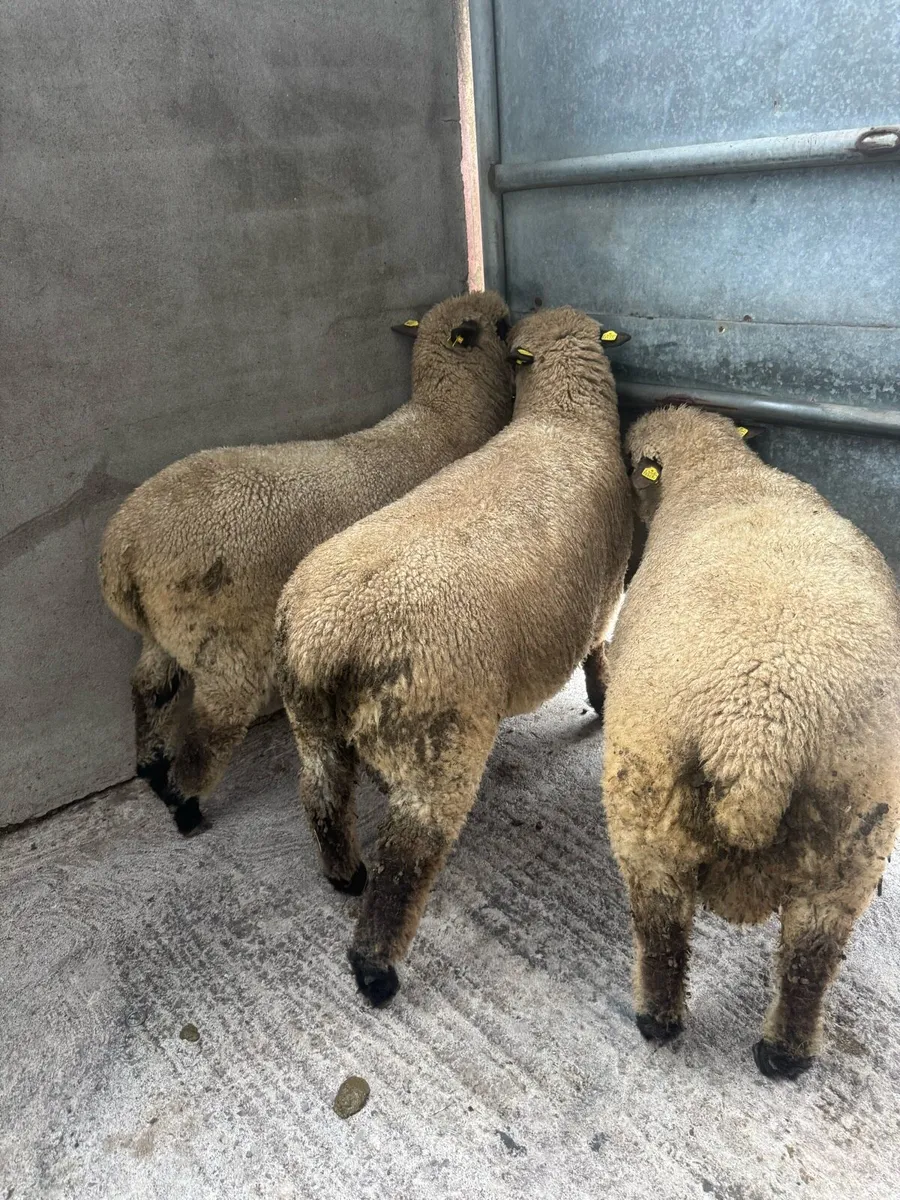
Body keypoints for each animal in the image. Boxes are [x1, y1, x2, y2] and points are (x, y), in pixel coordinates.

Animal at [99, 291, 514, 836]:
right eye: (503, 326)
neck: (444, 420)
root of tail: (121, 552)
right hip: (222, 639)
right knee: (211, 726)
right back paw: (186, 808)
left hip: (165, 631)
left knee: (149, 690)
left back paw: (153, 773)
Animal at [274, 306, 633, 1006]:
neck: (563, 419)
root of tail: (327, 639)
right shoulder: (604, 604)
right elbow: (598, 660)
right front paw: (602, 705)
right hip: (439, 737)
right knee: (408, 860)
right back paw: (376, 969)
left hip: (314, 723)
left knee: (323, 797)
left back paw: (344, 876)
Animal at [600, 403, 900, 1079]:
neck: (719, 473)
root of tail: (759, 741)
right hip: (847, 847)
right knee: (809, 964)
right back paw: (784, 1055)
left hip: (644, 818)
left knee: (661, 937)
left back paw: (658, 1022)